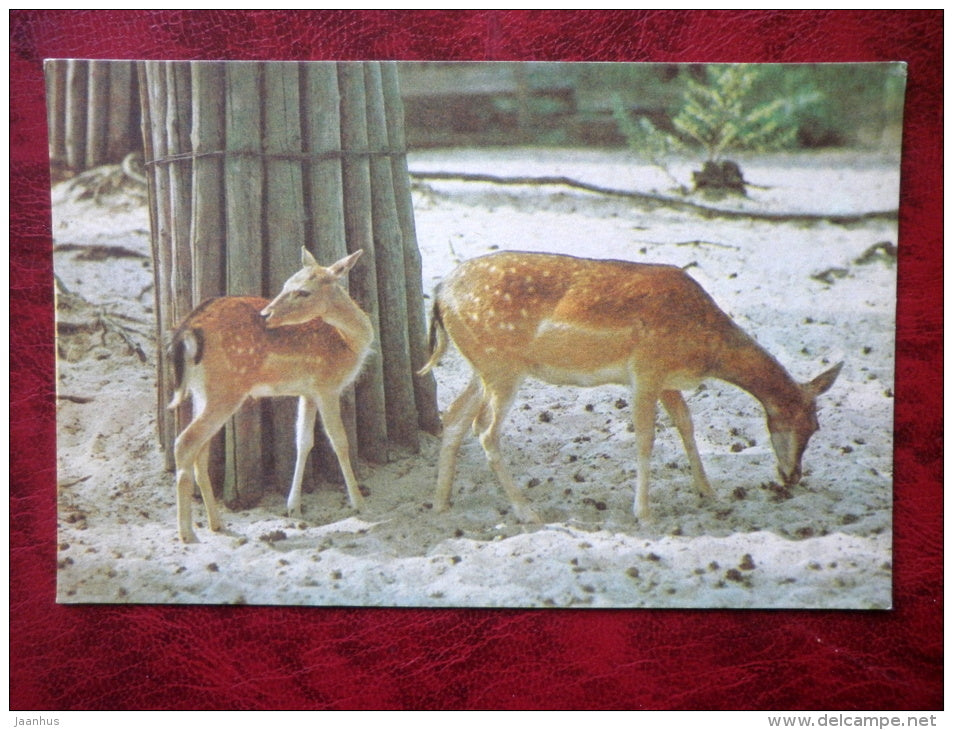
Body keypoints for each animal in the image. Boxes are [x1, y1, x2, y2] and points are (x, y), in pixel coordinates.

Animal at [167, 248, 373, 543]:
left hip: (201, 391)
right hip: (225, 390)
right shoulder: (327, 386)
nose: (266, 314)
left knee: (200, 451)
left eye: (302, 291)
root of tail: (187, 329)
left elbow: (303, 441)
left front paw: (293, 507)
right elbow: (340, 442)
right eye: (286, 285)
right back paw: (187, 533)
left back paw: (216, 523)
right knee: (184, 443)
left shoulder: (308, 391)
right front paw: (359, 503)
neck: (348, 341)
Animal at [417, 250, 842, 524]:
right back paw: (527, 511)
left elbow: (687, 425)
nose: (793, 476)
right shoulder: (646, 369)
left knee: (454, 417)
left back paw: (441, 503)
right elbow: (646, 438)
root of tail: (439, 294)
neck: (705, 346)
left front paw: (710, 492)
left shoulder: (667, 380)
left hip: (484, 366)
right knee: (485, 430)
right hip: (501, 366)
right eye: (809, 425)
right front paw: (644, 513)